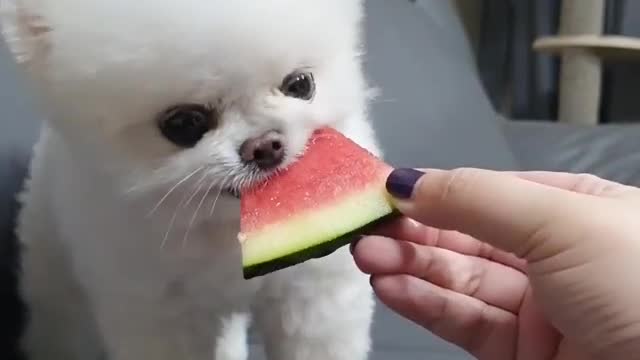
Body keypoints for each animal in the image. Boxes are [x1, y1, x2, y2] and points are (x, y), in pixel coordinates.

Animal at [1, 0, 380, 360]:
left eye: (301, 85)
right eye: (183, 124)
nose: (264, 146)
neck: (222, 227)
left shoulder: (312, 292)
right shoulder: (158, 311)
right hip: (51, 259)